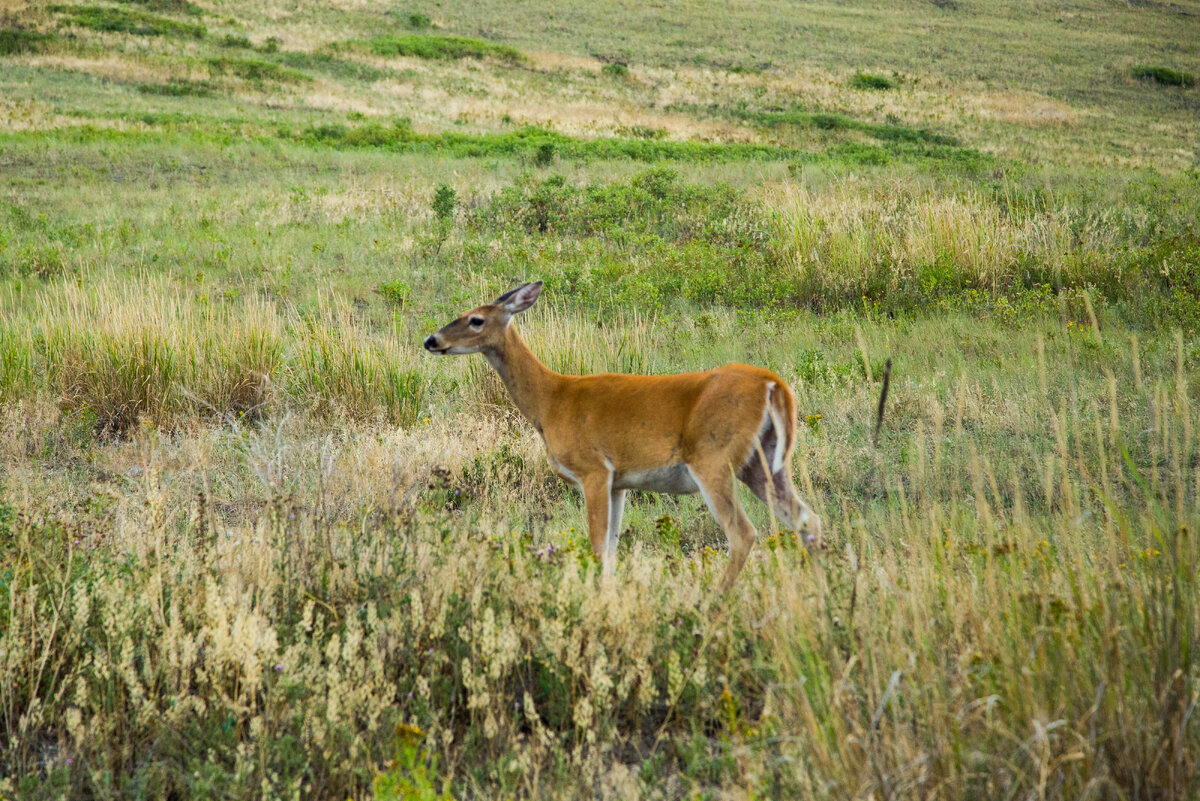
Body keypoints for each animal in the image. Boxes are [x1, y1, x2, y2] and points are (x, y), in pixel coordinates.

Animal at [423, 281, 822, 589]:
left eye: (475, 319)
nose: (431, 340)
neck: (552, 401)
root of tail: (773, 384)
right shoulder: (619, 482)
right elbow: (611, 549)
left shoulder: (594, 470)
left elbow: (598, 546)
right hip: (763, 460)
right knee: (808, 519)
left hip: (713, 457)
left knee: (744, 533)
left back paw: (714, 600)